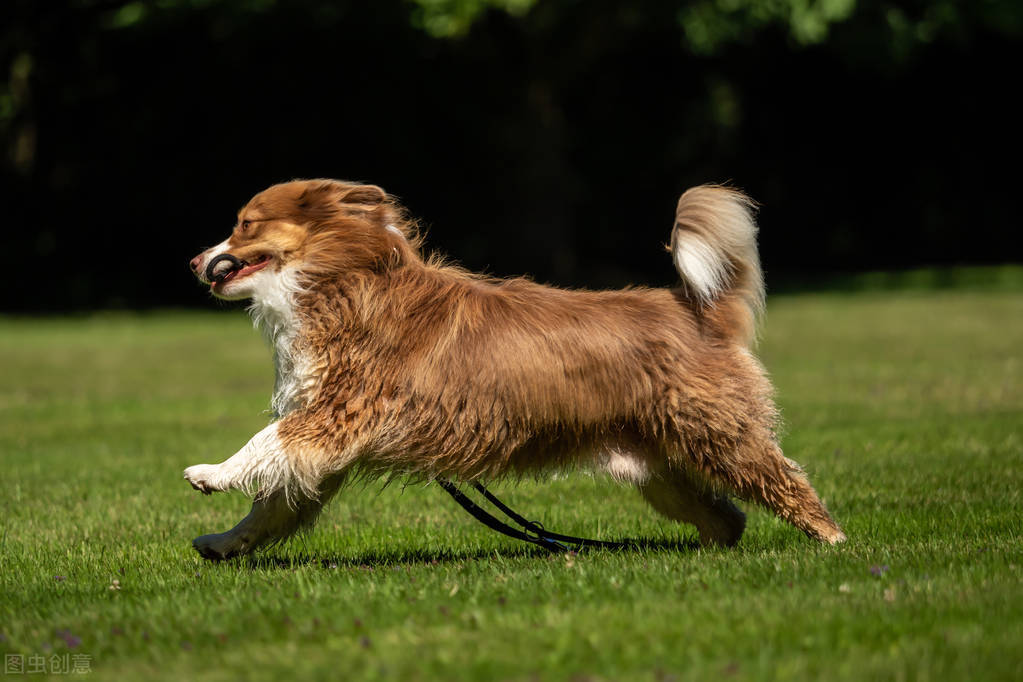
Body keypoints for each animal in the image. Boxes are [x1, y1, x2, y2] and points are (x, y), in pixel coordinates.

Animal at [186, 178, 847, 556]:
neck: (343, 276)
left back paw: (837, 549)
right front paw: (223, 543)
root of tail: (696, 309)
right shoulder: (327, 444)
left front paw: (211, 473)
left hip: (721, 436)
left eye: (244, 224)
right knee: (727, 517)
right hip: (656, 469)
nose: (194, 260)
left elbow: (266, 441)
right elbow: (272, 503)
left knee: (788, 484)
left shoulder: (339, 415)